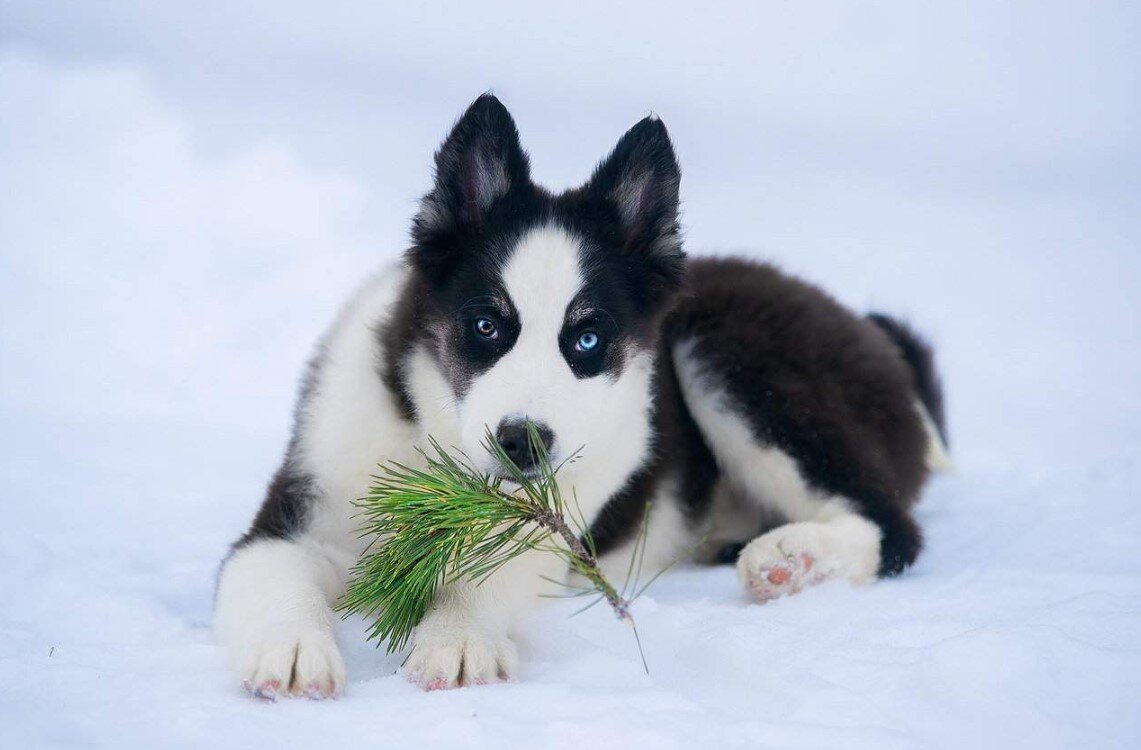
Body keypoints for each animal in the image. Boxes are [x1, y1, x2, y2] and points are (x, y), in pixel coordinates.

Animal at [214, 93, 944, 694]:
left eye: (587, 340)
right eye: (486, 326)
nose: (523, 442)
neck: (436, 443)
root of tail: (875, 337)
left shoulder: (551, 530)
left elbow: (488, 576)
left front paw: (458, 639)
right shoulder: (295, 518)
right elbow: (275, 573)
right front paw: (292, 650)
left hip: (732, 350)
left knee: (891, 525)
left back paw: (792, 557)